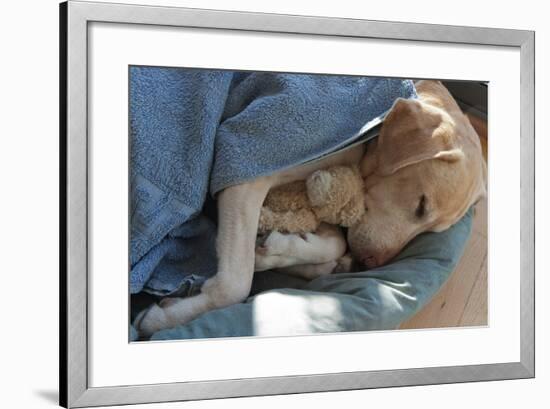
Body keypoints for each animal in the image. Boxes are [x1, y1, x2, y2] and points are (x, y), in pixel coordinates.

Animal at [137, 80, 488, 338]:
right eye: (421, 205)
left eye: (430, 229)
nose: (369, 264)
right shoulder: (247, 171)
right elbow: (235, 284)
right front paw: (163, 318)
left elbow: (333, 245)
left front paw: (280, 249)